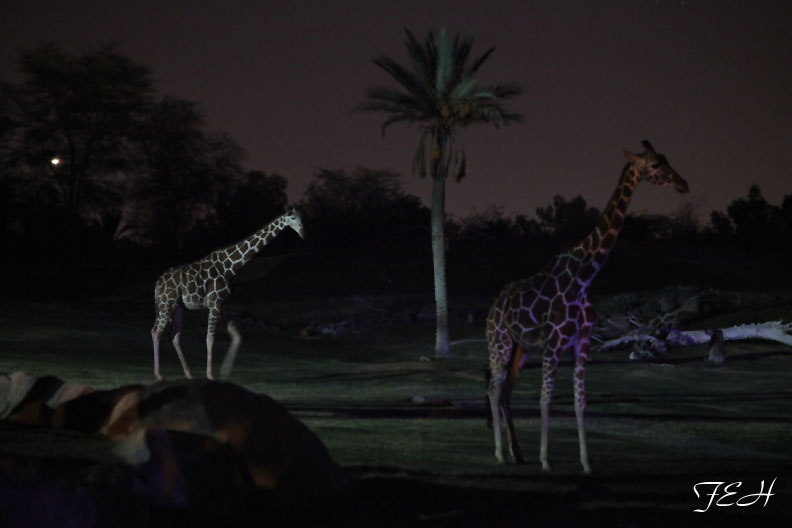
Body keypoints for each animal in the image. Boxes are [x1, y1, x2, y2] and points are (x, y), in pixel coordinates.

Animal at [151, 209, 305, 381]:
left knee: (174, 335)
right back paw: (159, 375)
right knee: (156, 331)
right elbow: (210, 338)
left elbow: (237, 336)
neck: (229, 267)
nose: (303, 233)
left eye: (301, 217)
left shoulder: (223, 304)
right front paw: (210, 375)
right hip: (166, 304)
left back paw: (188, 374)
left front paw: (224, 373)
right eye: (293, 218)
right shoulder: (214, 304)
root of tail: (157, 284)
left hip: (177, 306)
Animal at [486, 140, 688, 473]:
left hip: (520, 347)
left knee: (505, 391)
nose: (683, 184)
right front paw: (546, 460)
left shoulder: (581, 343)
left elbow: (580, 401)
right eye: (655, 165)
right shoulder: (554, 343)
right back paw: (501, 454)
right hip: (499, 341)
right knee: (493, 388)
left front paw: (586, 462)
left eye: (666, 158)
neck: (584, 277)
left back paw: (518, 452)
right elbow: (546, 399)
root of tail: (492, 307)